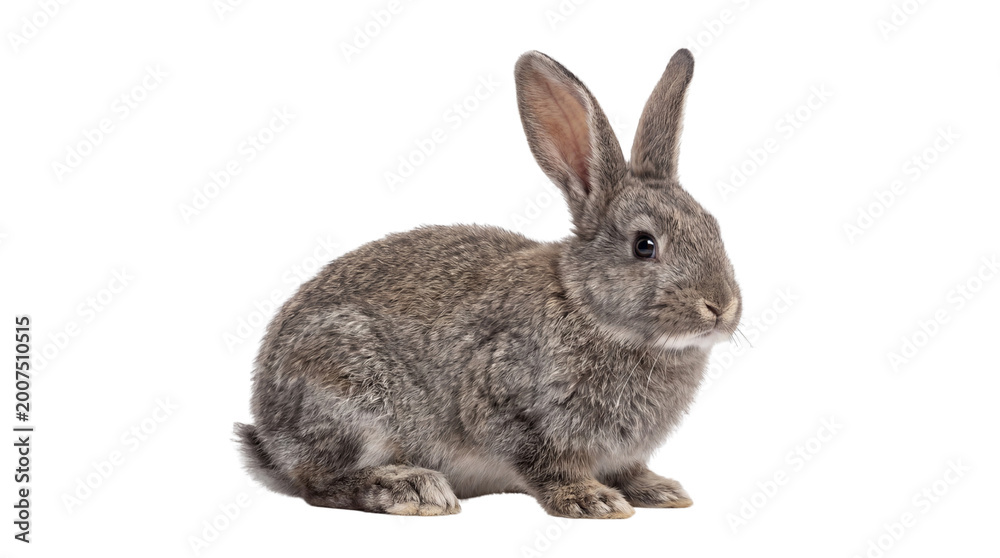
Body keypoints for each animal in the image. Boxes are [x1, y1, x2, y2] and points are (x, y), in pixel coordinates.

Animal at [235, 48, 742, 519]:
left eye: (714, 228)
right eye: (644, 245)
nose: (721, 307)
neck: (587, 309)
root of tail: (269, 430)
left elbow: (629, 469)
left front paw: (659, 491)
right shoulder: (506, 404)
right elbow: (546, 465)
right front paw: (592, 500)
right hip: (348, 393)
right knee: (318, 484)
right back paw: (410, 488)